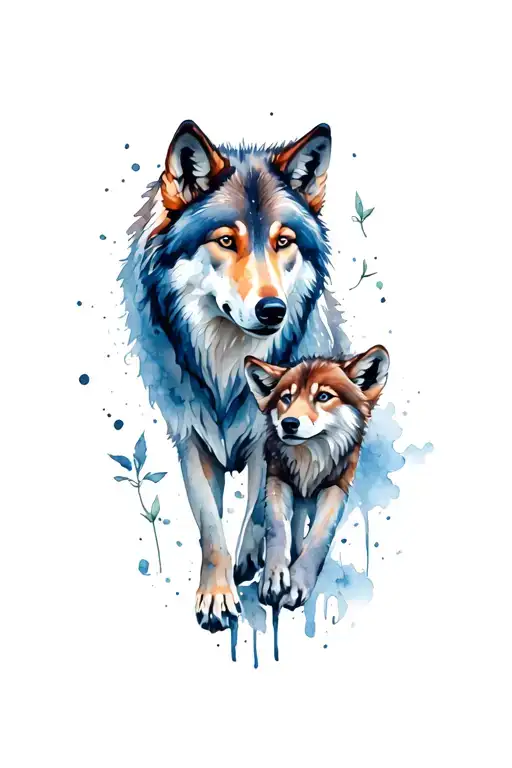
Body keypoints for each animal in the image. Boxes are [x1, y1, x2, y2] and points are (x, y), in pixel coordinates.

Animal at [120, 120, 351, 632]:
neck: (228, 368)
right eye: (226, 241)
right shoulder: (191, 438)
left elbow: (264, 511)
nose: (273, 311)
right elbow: (209, 524)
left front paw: (259, 564)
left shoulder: (273, 441)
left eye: (283, 241)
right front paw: (217, 595)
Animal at [244, 346, 389, 608]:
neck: (309, 459)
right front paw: (274, 577)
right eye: (286, 398)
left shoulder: (337, 486)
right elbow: (277, 528)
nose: (289, 423)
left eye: (323, 396)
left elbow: (318, 538)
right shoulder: (277, 477)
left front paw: (297, 582)